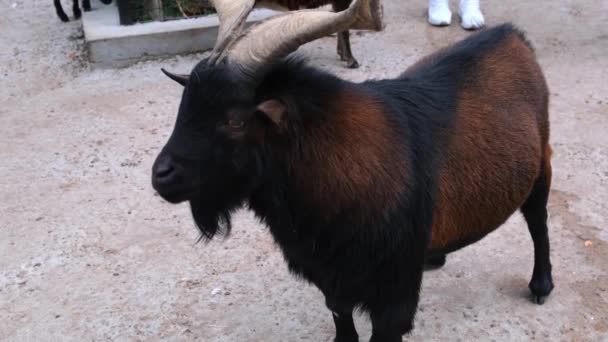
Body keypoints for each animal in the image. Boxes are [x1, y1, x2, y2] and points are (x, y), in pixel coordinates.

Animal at [151, 1, 552, 340]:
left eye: (234, 120)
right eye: (185, 104)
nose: (161, 175)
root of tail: (513, 36)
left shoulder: (393, 291)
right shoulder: (331, 274)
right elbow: (341, 319)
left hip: (542, 165)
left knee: (537, 219)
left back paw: (541, 285)